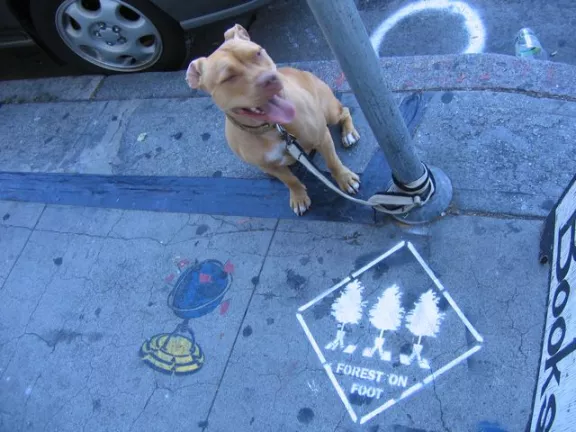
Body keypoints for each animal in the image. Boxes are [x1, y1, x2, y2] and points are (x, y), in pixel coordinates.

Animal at [186, 23, 360, 214]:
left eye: (258, 53)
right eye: (228, 77)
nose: (270, 79)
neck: (272, 128)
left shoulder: (322, 137)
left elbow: (333, 162)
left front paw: (344, 179)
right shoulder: (270, 165)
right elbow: (290, 180)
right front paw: (298, 196)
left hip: (329, 111)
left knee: (344, 111)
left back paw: (348, 134)